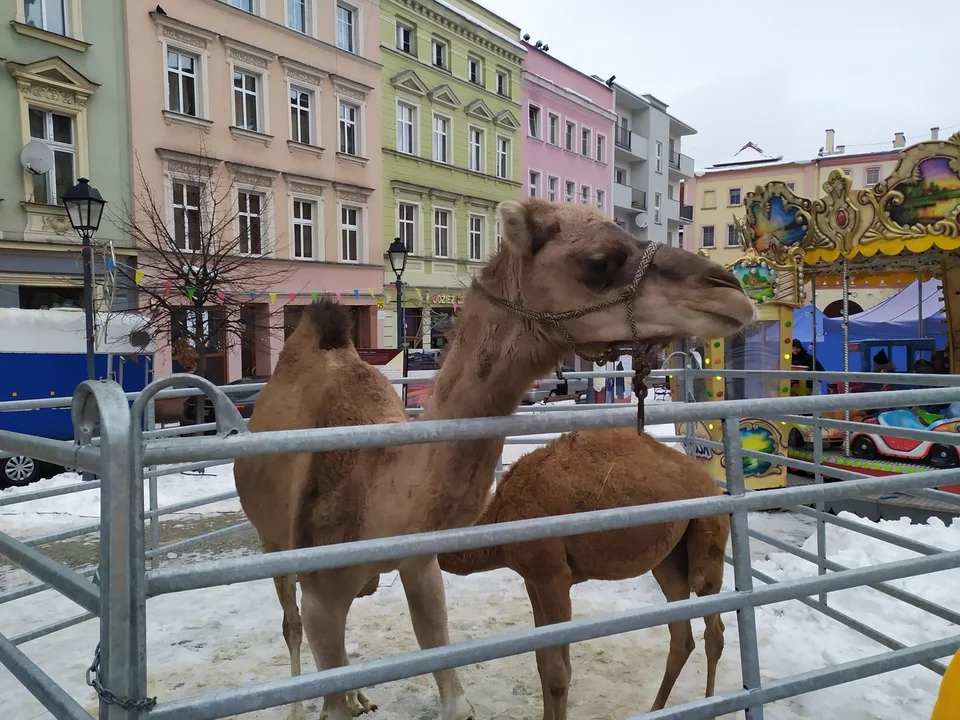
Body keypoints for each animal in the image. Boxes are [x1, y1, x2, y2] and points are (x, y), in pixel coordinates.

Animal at [440, 428, 728, 720]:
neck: (502, 515)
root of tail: (714, 486)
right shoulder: (532, 579)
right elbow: (542, 659)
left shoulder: (554, 576)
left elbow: (558, 673)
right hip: (669, 559)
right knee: (682, 638)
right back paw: (657, 709)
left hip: (708, 544)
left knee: (713, 629)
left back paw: (712, 706)